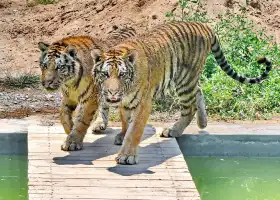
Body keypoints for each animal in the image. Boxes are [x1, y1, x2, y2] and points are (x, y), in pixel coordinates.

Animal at [92, 20, 272, 164]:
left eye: (121, 75)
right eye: (105, 74)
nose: (112, 93)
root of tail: (204, 25)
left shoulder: (143, 103)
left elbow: (134, 130)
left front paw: (127, 155)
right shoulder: (126, 103)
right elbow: (125, 120)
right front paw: (122, 135)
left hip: (184, 80)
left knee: (190, 107)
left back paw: (174, 130)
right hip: (186, 80)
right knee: (198, 90)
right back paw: (202, 122)